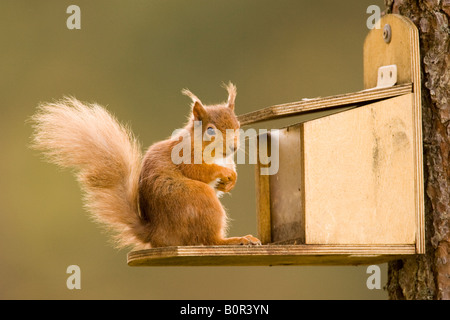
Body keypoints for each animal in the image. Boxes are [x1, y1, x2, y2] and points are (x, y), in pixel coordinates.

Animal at [30, 82, 260, 250]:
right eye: (210, 130)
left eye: (238, 126)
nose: (233, 147)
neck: (216, 155)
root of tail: (157, 235)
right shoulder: (185, 156)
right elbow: (199, 170)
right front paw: (224, 173)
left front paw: (230, 181)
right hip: (199, 199)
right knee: (207, 239)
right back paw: (235, 239)